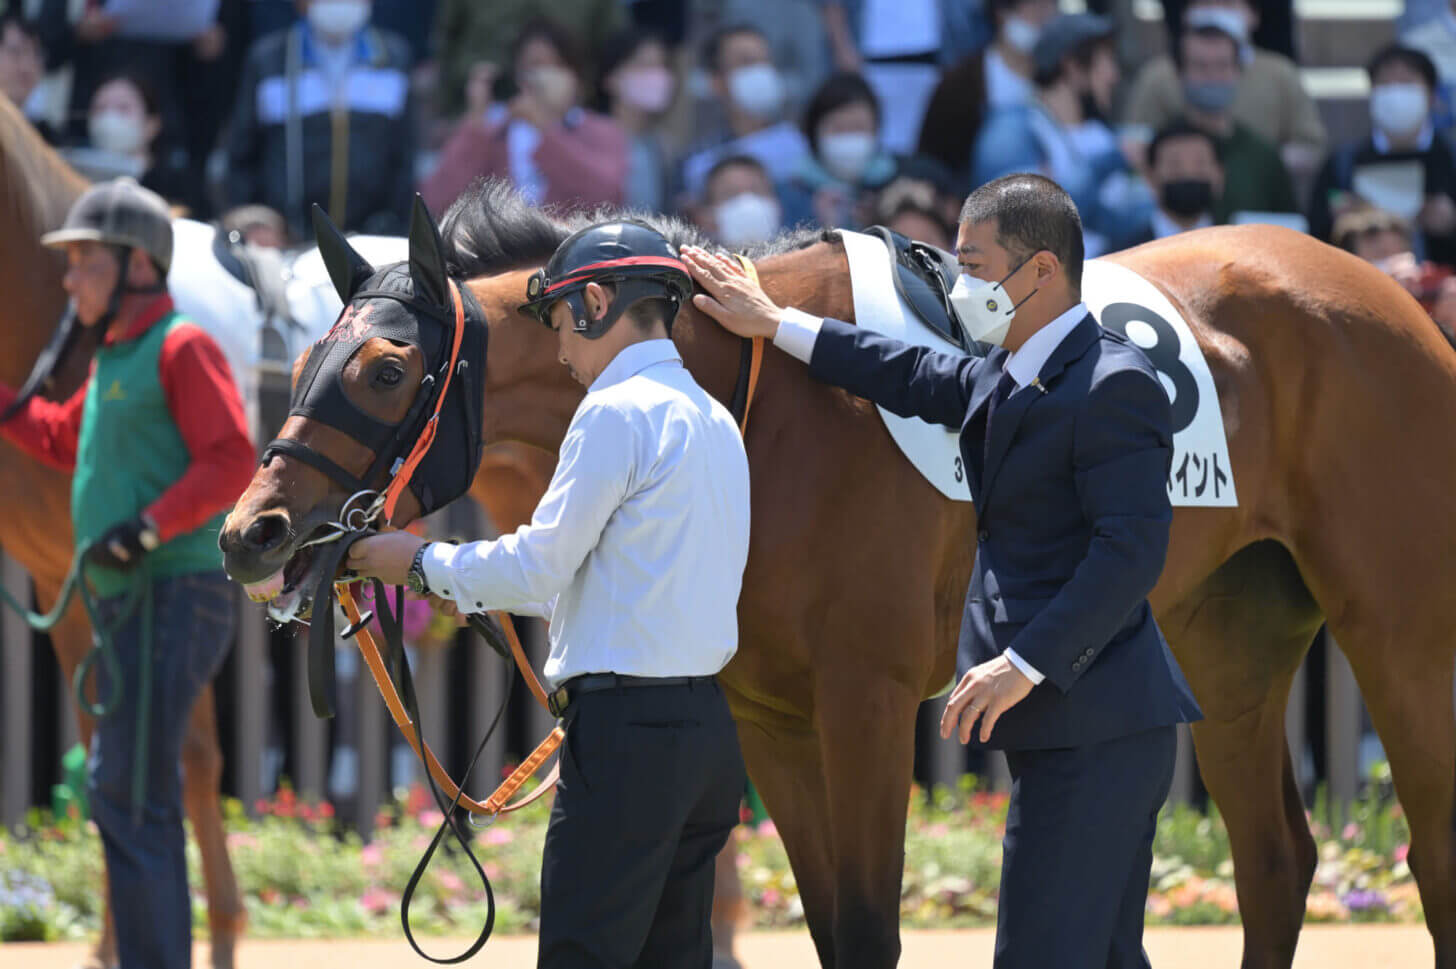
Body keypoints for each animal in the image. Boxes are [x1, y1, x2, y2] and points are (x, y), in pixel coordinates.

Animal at [218, 173, 1456, 966]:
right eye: (306, 351)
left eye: (384, 369)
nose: (253, 534)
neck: (755, 401)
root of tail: (1388, 295)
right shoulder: (769, 712)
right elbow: (827, 926)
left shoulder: (865, 701)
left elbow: (866, 927)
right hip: (1228, 635)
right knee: (1275, 863)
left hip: (1400, 631)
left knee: (1428, 852)